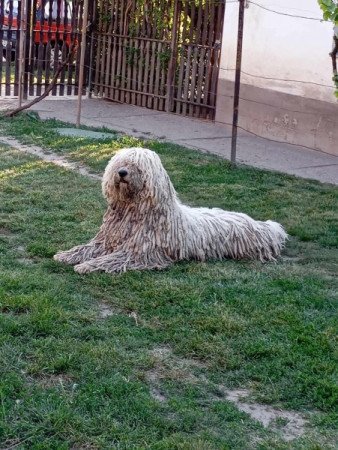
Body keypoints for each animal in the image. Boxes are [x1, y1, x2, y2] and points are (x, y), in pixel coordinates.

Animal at [54, 148, 286, 274]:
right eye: (121, 162)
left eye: (137, 166)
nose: (121, 172)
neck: (132, 210)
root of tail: (259, 224)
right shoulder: (107, 241)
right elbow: (87, 248)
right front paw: (65, 255)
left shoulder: (140, 252)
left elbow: (113, 258)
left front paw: (86, 266)